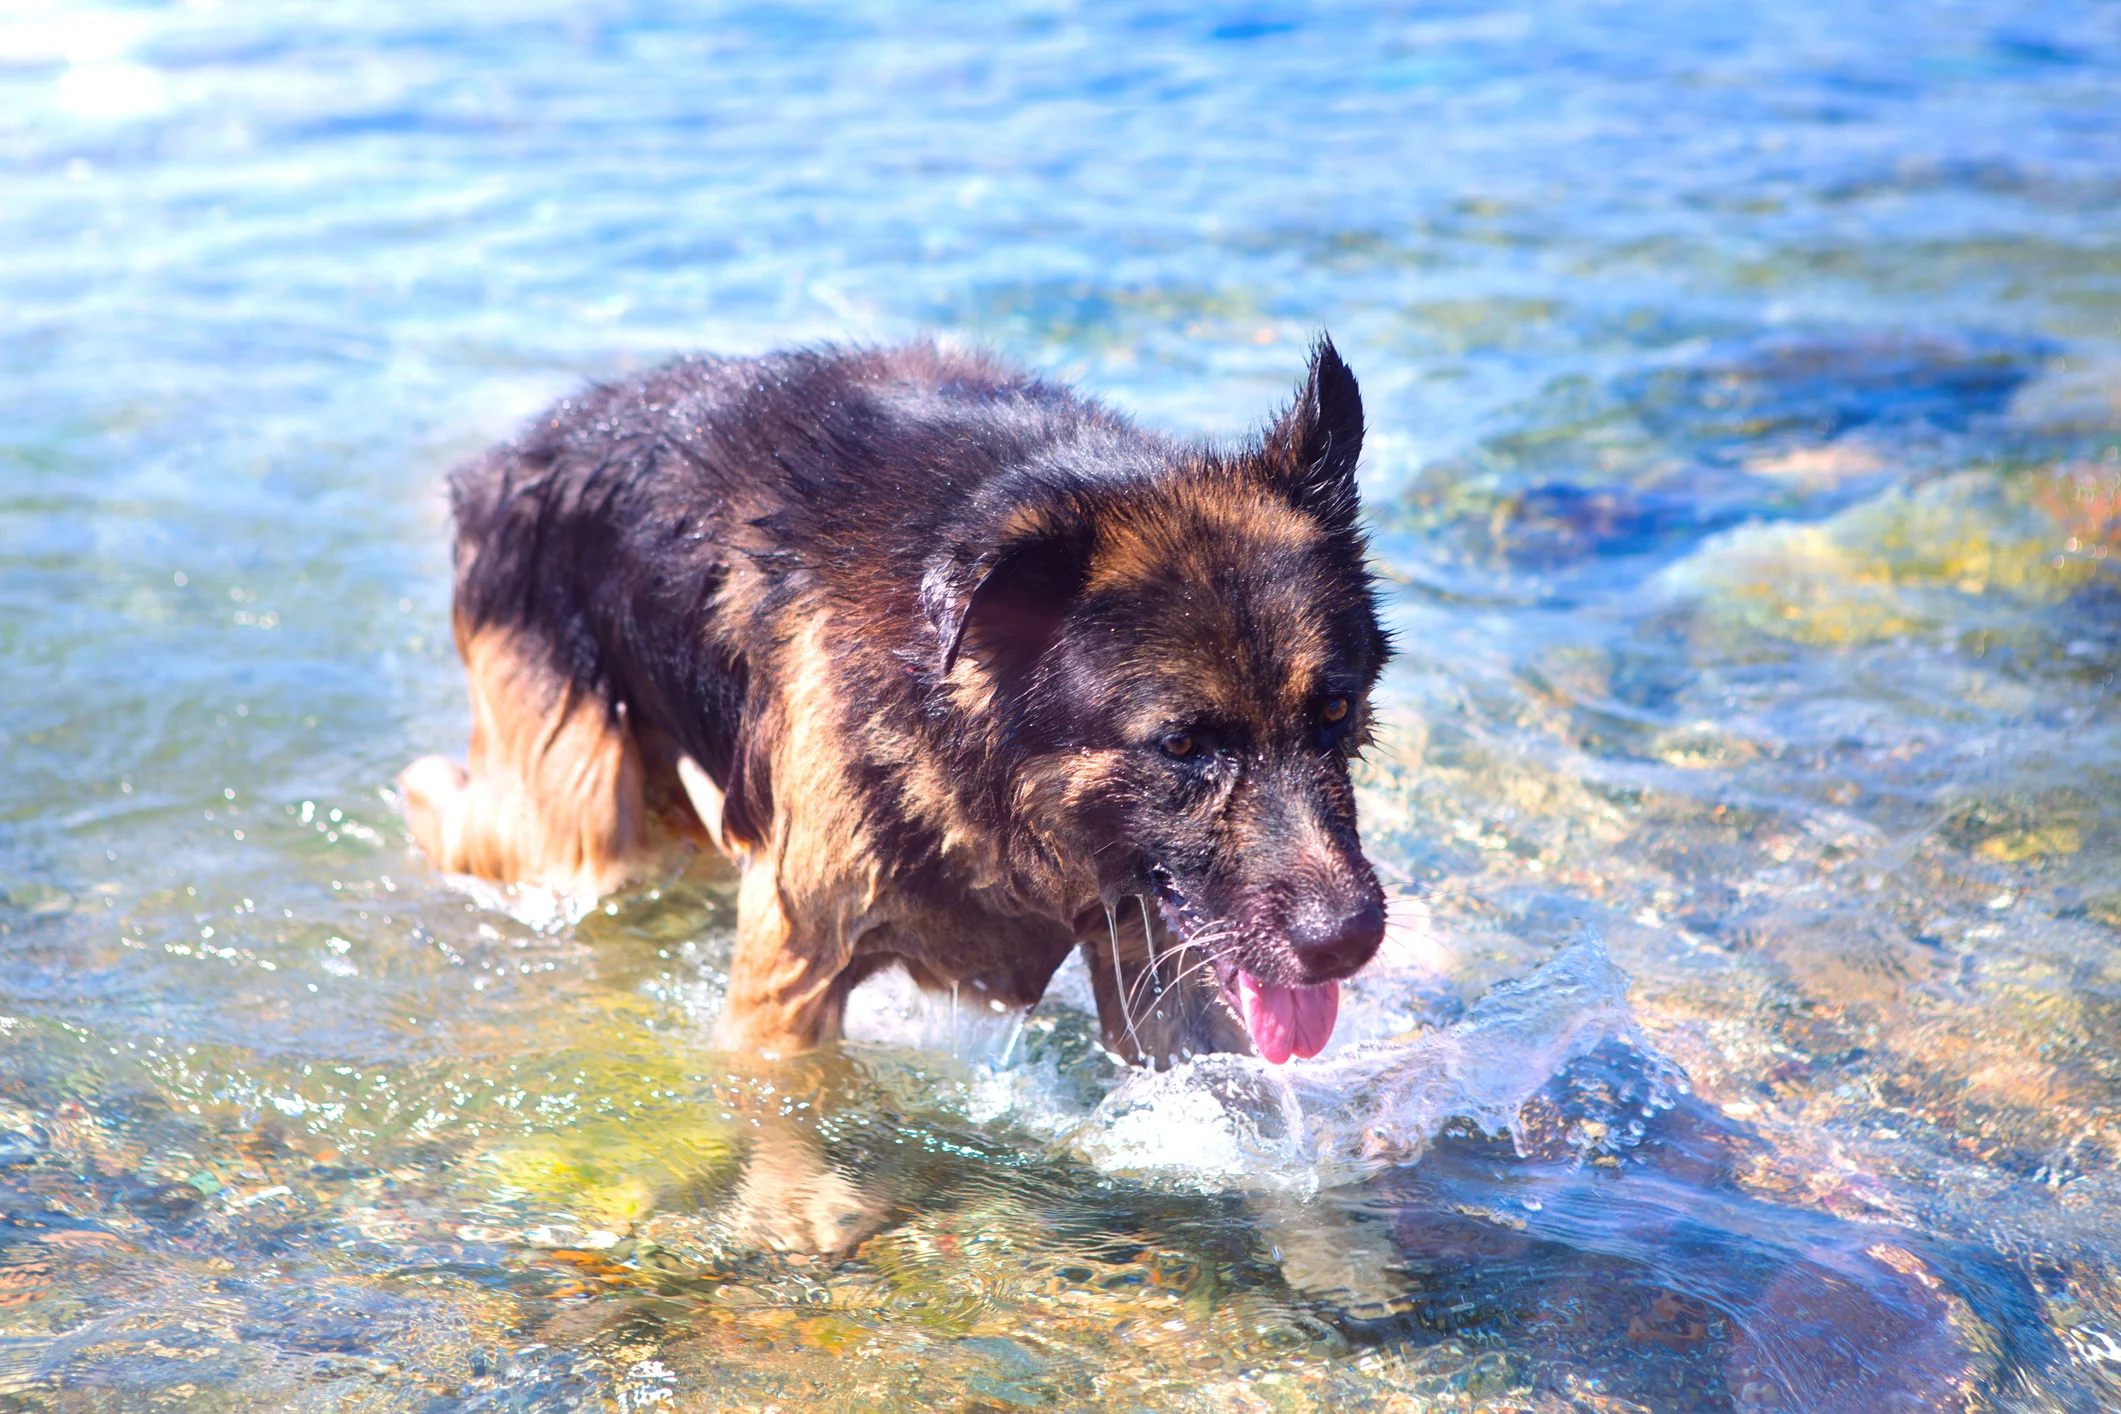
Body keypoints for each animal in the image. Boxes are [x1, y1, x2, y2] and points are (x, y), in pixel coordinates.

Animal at [398, 339, 1391, 1072]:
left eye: (1334, 712)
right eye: (1181, 745)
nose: (1345, 943)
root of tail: (514, 454)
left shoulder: (1156, 962)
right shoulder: (790, 976)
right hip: (578, 814)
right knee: (495, 822)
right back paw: (420, 792)